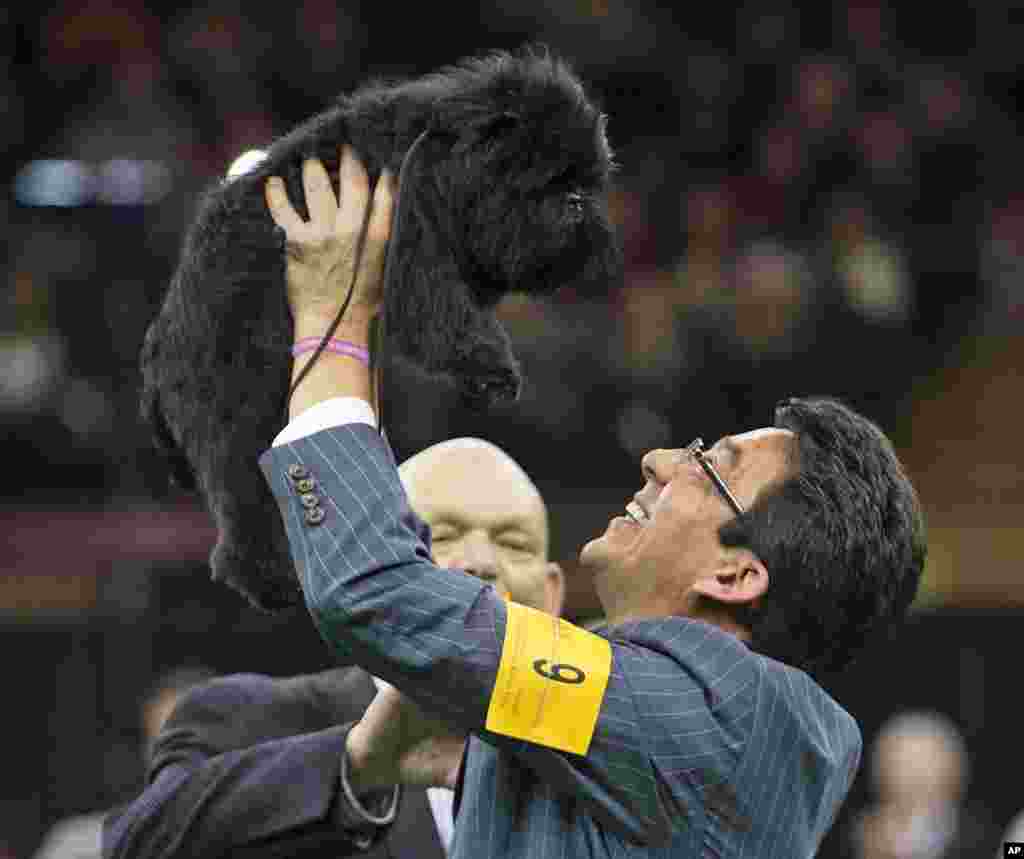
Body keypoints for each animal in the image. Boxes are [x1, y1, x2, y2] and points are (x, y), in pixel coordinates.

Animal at [140, 47, 618, 610]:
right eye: (550, 180)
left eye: (586, 184)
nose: (579, 204)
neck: (446, 147)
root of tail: (160, 349)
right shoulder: (413, 219)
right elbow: (437, 312)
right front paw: (492, 369)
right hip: (241, 410)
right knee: (243, 507)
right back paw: (272, 580)